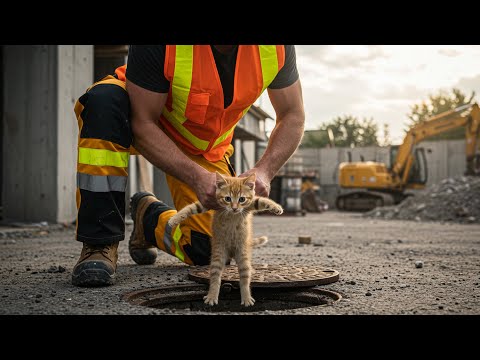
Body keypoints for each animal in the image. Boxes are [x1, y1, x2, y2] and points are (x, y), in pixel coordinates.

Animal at [168, 172, 284, 306]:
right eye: (228, 199)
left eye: (242, 199)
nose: (234, 208)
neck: (232, 214)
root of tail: (232, 253)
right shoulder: (209, 203)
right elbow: (191, 208)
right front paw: (174, 219)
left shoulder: (249, 204)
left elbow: (261, 200)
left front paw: (277, 207)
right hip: (218, 254)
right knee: (215, 276)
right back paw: (212, 296)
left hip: (242, 255)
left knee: (245, 277)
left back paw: (246, 297)